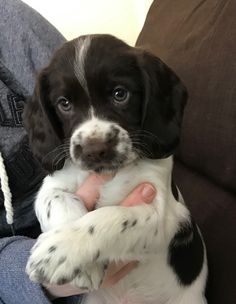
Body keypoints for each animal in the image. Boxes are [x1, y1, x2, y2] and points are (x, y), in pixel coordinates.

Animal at [24, 34, 207, 302]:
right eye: (64, 103)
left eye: (120, 94)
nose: (94, 149)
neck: (111, 173)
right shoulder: (51, 186)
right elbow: (58, 202)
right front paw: (82, 266)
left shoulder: (162, 215)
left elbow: (113, 217)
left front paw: (60, 251)